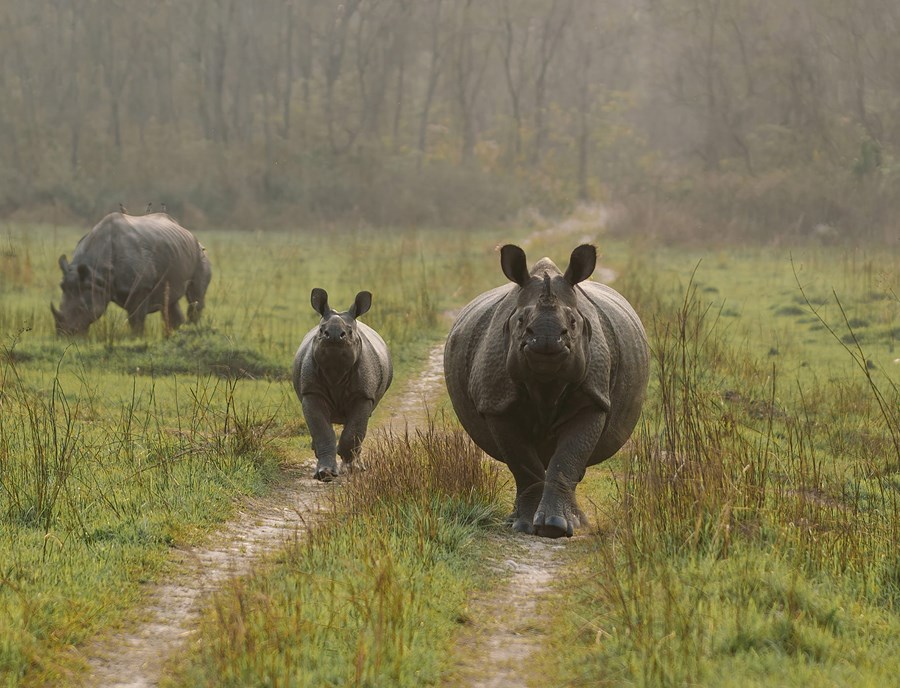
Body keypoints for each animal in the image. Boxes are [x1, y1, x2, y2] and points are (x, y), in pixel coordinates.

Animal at [51, 212, 211, 336]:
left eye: (82, 309)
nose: (64, 335)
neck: (96, 274)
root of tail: (190, 233)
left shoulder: (140, 287)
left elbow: (136, 319)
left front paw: (137, 338)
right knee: (170, 301)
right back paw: (177, 332)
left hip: (200, 254)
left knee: (195, 296)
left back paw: (192, 330)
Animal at [292, 288, 393, 481]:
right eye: (321, 330)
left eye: (349, 331)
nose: (333, 335)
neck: (335, 370)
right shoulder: (311, 392)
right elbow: (322, 431)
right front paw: (325, 473)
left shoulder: (363, 395)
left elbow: (353, 432)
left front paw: (350, 468)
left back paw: (357, 466)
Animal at [443, 244, 649, 538]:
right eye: (520, 321)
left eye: (573, 322)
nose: (546, 338)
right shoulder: (497, 403)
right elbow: (523, 464)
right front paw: (526, 526)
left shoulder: (593, 398)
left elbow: (568, 457)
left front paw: (555, 528)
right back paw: (517, 520)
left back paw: (577, 522)